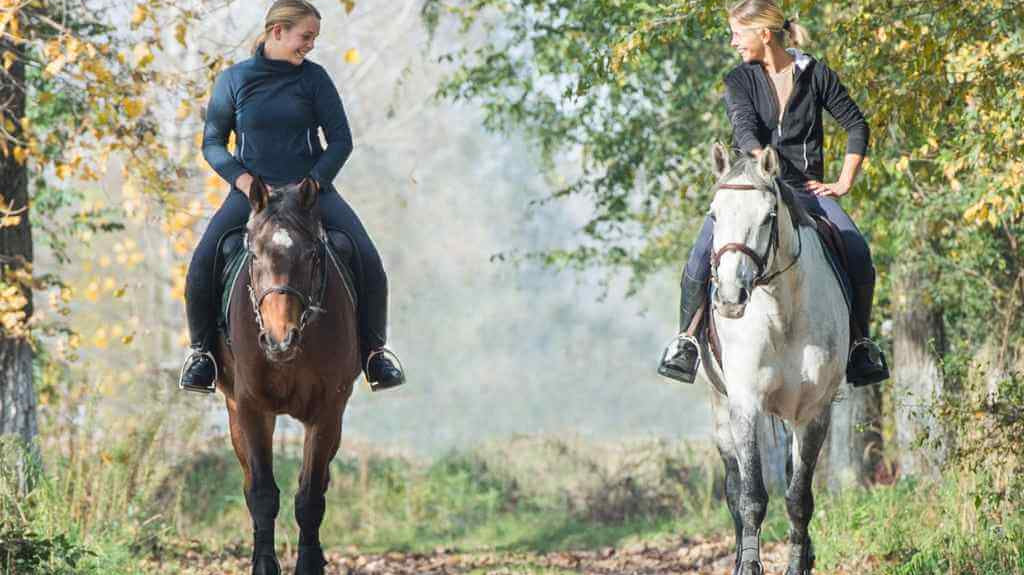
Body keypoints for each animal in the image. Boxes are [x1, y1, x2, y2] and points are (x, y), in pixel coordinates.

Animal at [215, 178, 361, 575]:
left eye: (311, 256)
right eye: (253, 256)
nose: (280, 339)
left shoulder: (328, 412)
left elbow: (310, 495)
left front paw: (310, 564)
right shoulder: (252, 408)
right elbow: (262, 493)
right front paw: (264, 564)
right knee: (250, 483)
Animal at [698, 144, 849, 575]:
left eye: (767, 217)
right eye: (714, 214)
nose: (730, 297)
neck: (781, 312)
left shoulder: (813, 412)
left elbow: (799, 498)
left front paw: (799, 563)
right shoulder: (745, 405)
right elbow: (750, 497)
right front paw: (749, 565)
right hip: (720, 408)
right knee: (734, 487)